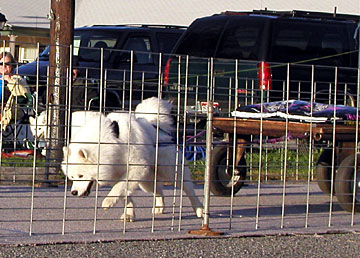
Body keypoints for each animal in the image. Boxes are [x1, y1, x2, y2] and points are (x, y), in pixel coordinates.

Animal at [62, 98, 202, 221]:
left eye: (81, 176)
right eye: (72, 177)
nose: (73, 192)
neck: (113, 144)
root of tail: (158, 127)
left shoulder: (135, 167)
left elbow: (118, 188)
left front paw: (108, 201)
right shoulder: (117, 174)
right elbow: (124, 195)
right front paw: (129, 214)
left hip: (171, 172)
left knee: (188, 189)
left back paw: (199, 209)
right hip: (146, 182)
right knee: (159, 190)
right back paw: (159, 208)